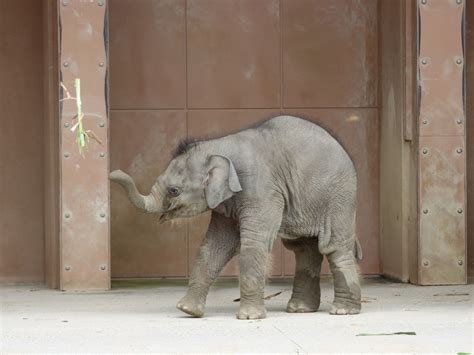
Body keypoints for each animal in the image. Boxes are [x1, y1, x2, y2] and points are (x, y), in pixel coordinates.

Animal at [111, 116, 362, 320]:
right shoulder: (226, 202)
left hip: (339, 198)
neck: (219, 145)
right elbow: (214, 246)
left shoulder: (262, 189)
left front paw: (249, 317)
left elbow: (253, 244)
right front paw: (188, 311)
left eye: (174, 191)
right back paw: (300, 309)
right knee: (303, 249)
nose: (113, 173)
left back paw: (343, 311)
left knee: (334, 248)